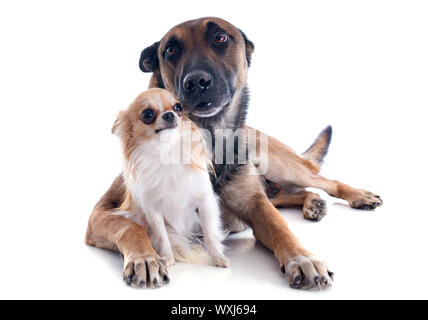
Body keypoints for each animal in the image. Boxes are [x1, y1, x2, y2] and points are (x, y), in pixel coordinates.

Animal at [85, 18, 382, 292]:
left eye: (220, 37)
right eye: (170, 50)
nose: (197, 81)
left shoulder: (254, 204)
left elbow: (280, 227)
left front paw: (302, 258)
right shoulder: (102, 214)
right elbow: (130, 227)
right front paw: (146, 258)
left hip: (282, 166)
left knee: (322, 181)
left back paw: (356, 195)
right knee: (288, 194)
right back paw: (312, 202)